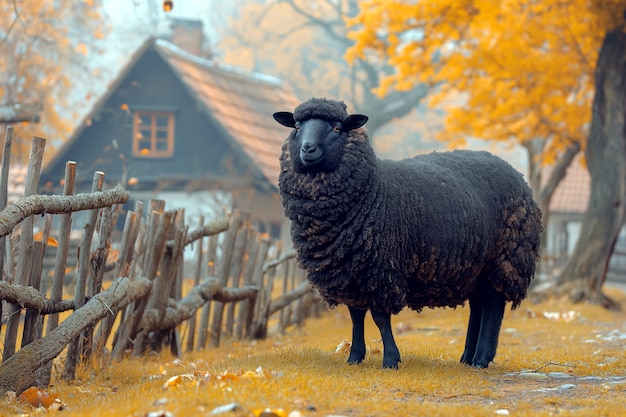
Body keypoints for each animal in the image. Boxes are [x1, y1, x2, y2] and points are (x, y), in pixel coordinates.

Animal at [272, 96, 540, 368]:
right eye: (296, 127)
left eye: (337, 128)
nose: (308, 149)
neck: (373, 188)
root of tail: (518, 176)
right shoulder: (350, 272)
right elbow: (356, 316)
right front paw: (355, 356)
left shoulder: (381, 269)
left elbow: (380, 317)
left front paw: (391, 359)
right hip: (476, 267)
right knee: (478, 305)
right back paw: (467, 357)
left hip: (505, 258)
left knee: (494, 305)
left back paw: (481, 359)